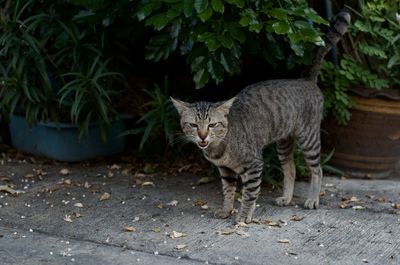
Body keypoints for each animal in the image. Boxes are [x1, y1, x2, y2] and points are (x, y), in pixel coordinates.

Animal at [172, 10, 350, 223]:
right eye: (193, 125)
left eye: (212, 125)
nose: (202, 136)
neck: (219, 149)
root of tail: (305, 80)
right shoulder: (226, 171)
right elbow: (228, 192)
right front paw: (226, 210)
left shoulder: (254, 165)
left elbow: (249, 195)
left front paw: (243, 217)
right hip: (284, 142)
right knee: (290, 168)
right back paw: (286, 198)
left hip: (309, 138)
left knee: (318, 169)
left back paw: (313, 199)